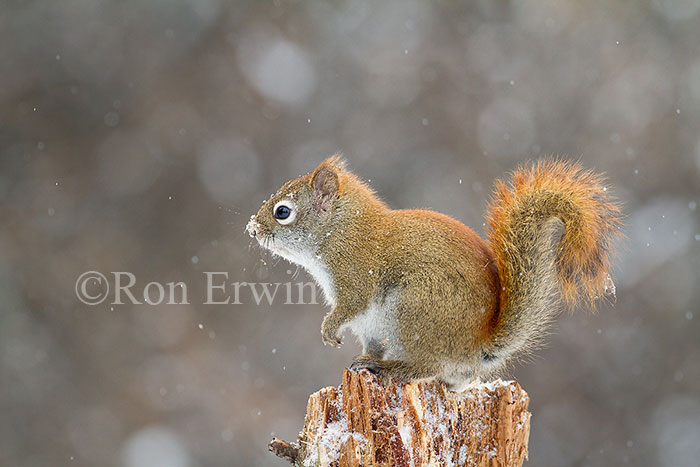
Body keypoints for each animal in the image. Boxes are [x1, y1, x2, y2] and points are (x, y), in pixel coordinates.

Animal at [246, 156, 621, 391]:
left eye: (283, 212)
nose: (251, 229)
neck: (340, 230)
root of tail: (474, 346)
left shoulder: (355, 275)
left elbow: (350, 305)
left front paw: (329, 330)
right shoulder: (370, 328)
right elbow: (370, 341)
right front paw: (360, 355)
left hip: (413, 308)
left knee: (425, 367)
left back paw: (388, 368)